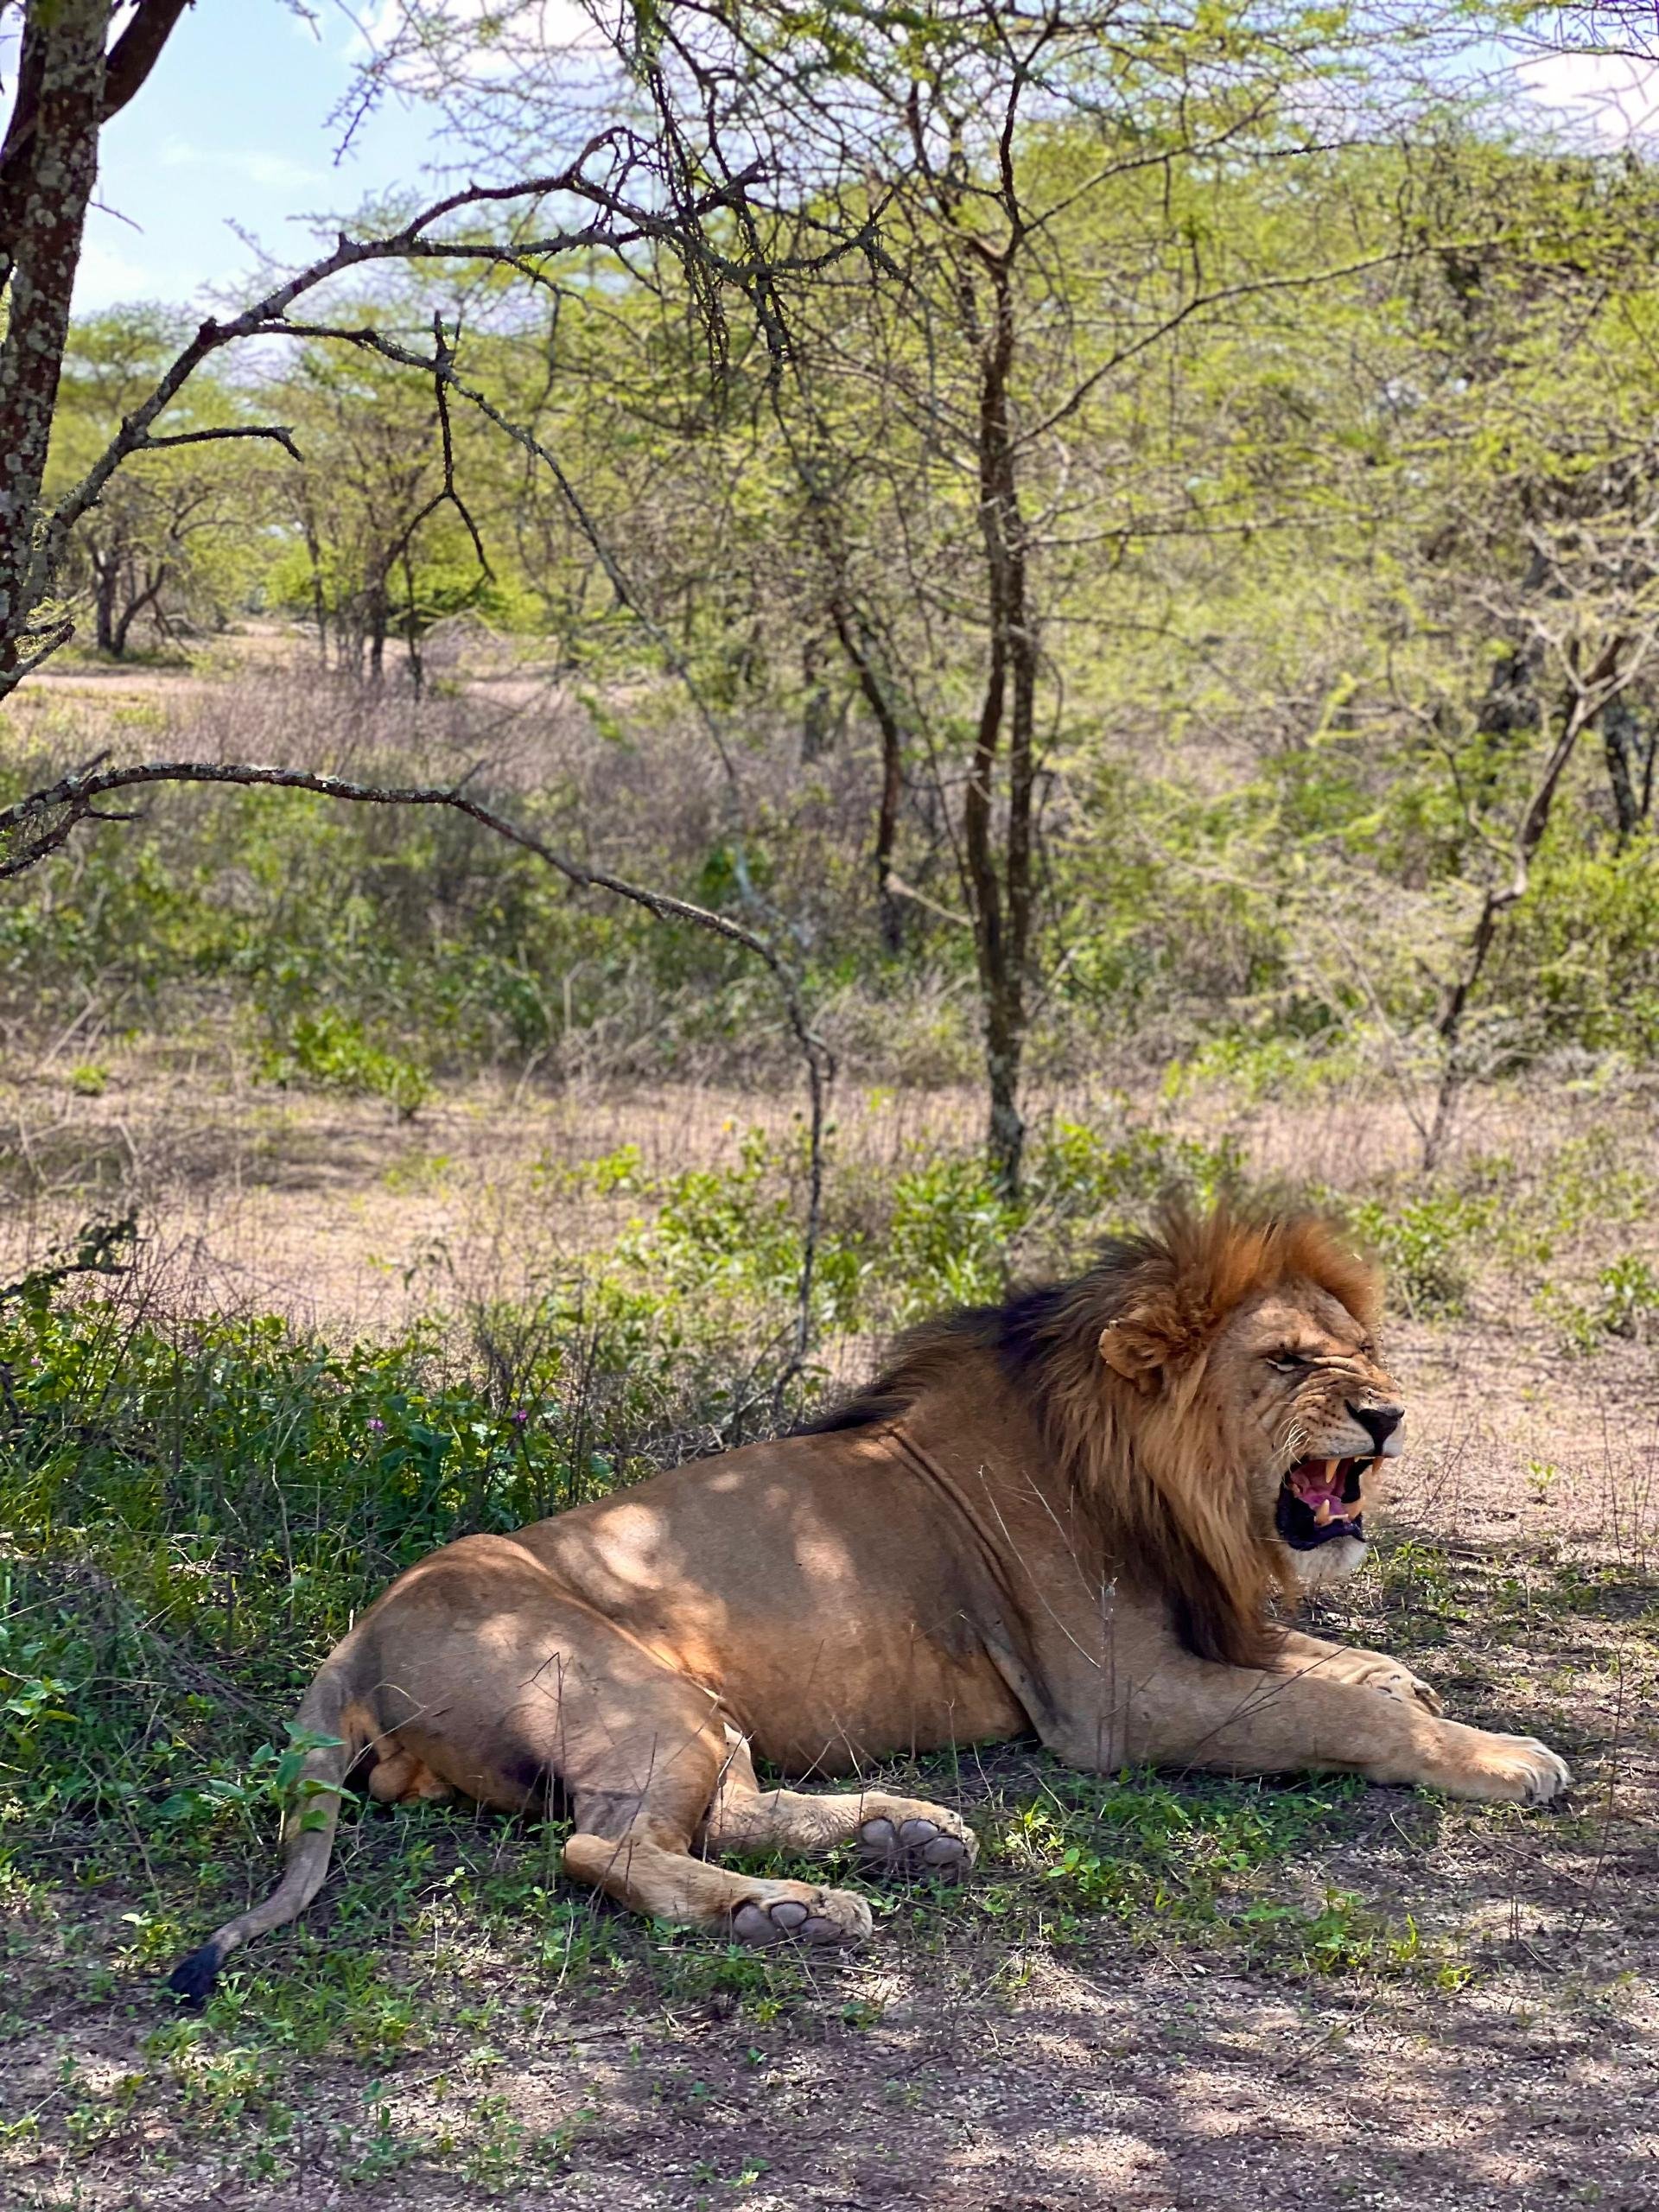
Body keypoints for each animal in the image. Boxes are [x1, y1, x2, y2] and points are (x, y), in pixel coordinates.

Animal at [168, 1201, 1569, 2000]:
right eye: (1286, 1362)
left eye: (1368, 1353)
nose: (1388, 1415)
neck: (1149, 1476)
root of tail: (355, 1640)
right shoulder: (1117, 1702)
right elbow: (1343, 1714)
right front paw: (1504, 1754)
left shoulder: (1202, 1631)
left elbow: (1334, 1664)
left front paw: (1410, 1679)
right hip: (633, 1690)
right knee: (603, 1848)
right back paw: (802, 1911)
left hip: (690, 1703)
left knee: (719, 1809)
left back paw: (903, 1836)